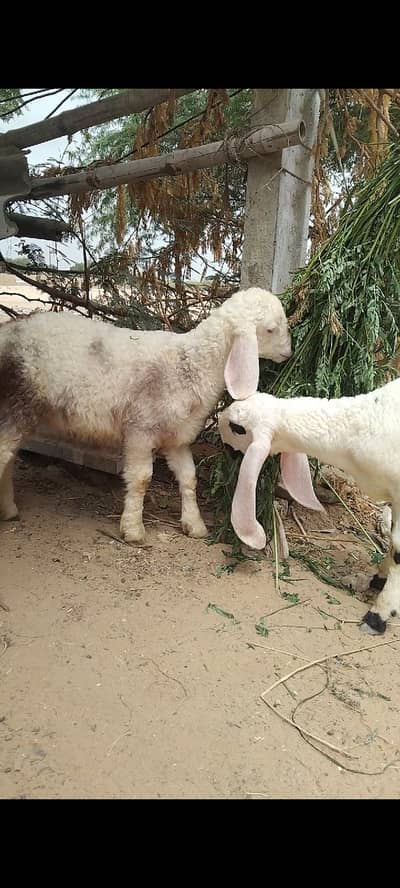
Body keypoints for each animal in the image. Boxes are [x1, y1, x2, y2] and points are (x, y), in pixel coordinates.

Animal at [0, 286, 292, 545]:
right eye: (270, 328)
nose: (288, 354)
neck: (191, 364)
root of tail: (7, 329)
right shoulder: (140, 429)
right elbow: (141, 479)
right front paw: (133, 529)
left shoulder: (177, 438)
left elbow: (189, 477)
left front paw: (194, 524)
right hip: (15, 404)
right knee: (3, 454)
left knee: (8, 458)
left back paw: (8, 509)